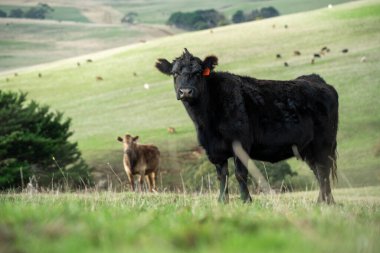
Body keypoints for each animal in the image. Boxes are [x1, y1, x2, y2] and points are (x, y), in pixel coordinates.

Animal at [154, 49, 338, 204]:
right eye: (175, 73)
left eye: (198, 73)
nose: (185, 91)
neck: (206, 121)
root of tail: (315, 79)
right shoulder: (214, 150)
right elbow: (222, 176)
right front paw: (222, 201)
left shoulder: (240, 144)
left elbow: (240, 174)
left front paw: (246, 200)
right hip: (307, 148)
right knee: (318, 171)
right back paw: (323, 201)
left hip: (323, 144)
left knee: (323, 171)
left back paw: (326, 202)